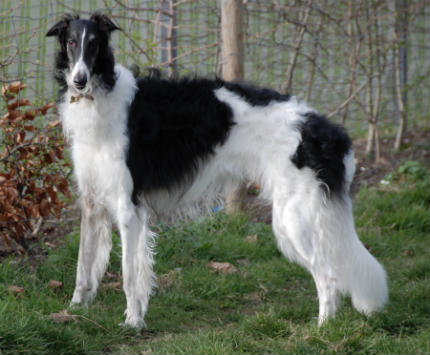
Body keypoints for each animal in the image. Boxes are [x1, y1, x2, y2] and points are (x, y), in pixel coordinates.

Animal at [45, 12, 388, 330]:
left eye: (94, 44)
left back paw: (321, 329)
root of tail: (326, 129)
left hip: (294, 219)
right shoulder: (92, 202)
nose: (79, 80)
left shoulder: (127, 204)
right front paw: (73, 310)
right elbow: (83, 267)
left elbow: (130, 274)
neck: (100, 97)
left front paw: (133, 322)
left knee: (328, 277)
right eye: (71, 42)